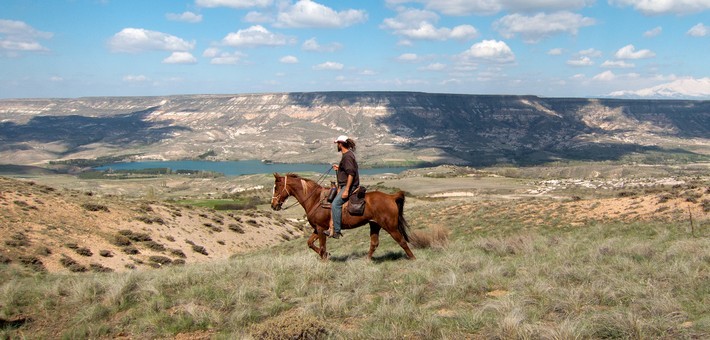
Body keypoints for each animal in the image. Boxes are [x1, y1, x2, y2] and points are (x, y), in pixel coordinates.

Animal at [272, 173, 418, 260]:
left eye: (276, 188)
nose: (273, 205)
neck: (315, 199)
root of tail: (391, 197)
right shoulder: (317, 229)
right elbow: (310, 243)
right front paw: (326, 255)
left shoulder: (321, 229)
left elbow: (322, 246)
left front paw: (324, 258)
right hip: (375, 225)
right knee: (374, 243)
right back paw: (367, 261)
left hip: (390, 227)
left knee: (402, 241)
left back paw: (413, 259)